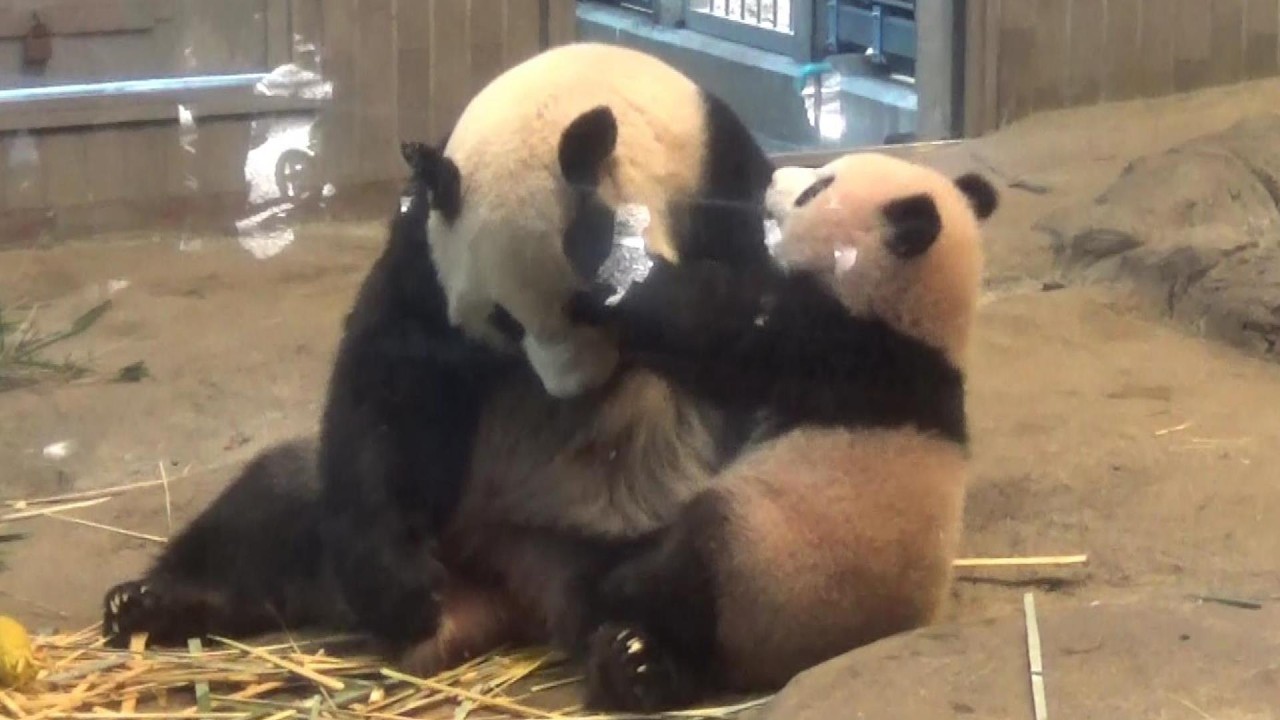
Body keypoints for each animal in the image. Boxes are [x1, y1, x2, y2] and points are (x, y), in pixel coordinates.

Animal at [102, 42, 779, 674]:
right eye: (504, 320)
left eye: (583, 309)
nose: (574, 388)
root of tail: (506, 589)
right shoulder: (424, 244)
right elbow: (390, 368)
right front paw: (402, 590)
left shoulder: (721, 188)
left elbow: (756, 335)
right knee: (273, 505)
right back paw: (153, 604)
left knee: (699, 558)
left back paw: (637, 654)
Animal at [560, 145, 999, 711]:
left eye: (817, 189)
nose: (772, 179)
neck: (916, 326)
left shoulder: (823, 347)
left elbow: (702, 324)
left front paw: (586, 180)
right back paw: (635, 664)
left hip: (758, 558)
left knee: (682, 575)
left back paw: (613, 611)